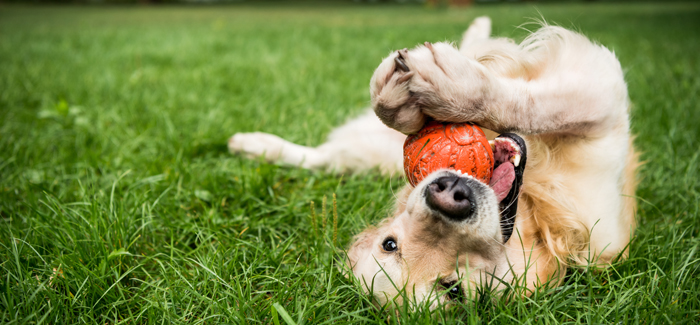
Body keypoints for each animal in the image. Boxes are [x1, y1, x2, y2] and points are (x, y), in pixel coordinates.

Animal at [227, 17, 636, 306]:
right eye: (391, 244)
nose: (449, 194)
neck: (534, 213)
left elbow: (534, 103)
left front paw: (445, 89)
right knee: (323, 158)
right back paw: (252, 145)